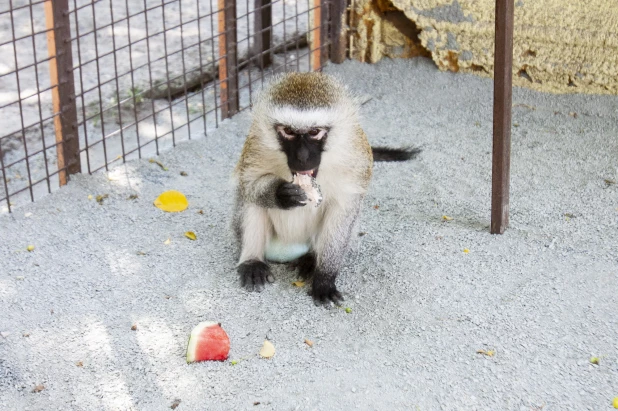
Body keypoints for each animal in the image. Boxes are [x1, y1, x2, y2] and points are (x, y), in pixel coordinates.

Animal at [232, 72, 418, 306]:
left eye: (314, 132)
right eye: (289, 131)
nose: (302, 157)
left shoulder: (356, 158)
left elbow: (343, 212)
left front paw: (324, 278)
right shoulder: (256, 144)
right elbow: (247, 183)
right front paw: (281, 194)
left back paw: (311, 258)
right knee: (249, 201)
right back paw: (252, 261)